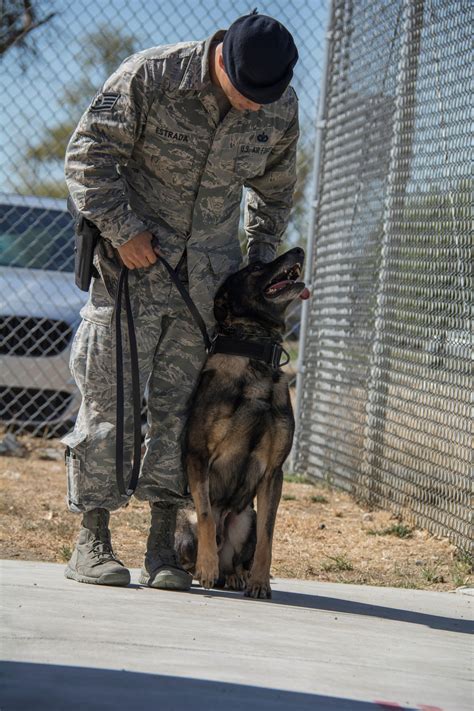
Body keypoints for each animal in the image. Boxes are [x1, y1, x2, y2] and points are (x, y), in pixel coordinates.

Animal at [176, 248, 310, 596]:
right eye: (257, 267)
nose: (299, 250)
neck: (256, 354)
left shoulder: (274, 473)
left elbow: (268, 535)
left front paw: (260, 581)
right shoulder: (197, 456)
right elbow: (206, 514)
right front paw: (206, 568)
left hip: (245, 519)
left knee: (237, 559)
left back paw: (238, 577)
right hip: (185, 524)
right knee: (197, 543)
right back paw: (199, 570)